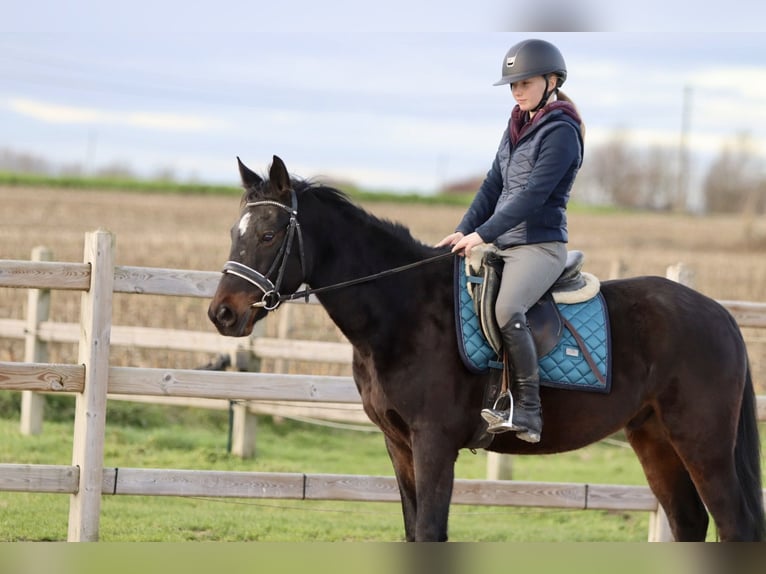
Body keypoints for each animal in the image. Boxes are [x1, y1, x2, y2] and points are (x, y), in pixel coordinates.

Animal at [208, 155, 764, 542]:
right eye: (234, 232)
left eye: (269, 233)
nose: (222, 314)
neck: (404, 307)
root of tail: (718, 313)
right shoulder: (399, 445)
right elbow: (413, 531)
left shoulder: (434, 444)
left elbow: (430, 532)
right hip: (654, 440)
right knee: (689, 522)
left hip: (703, 443)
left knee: (734, 527)